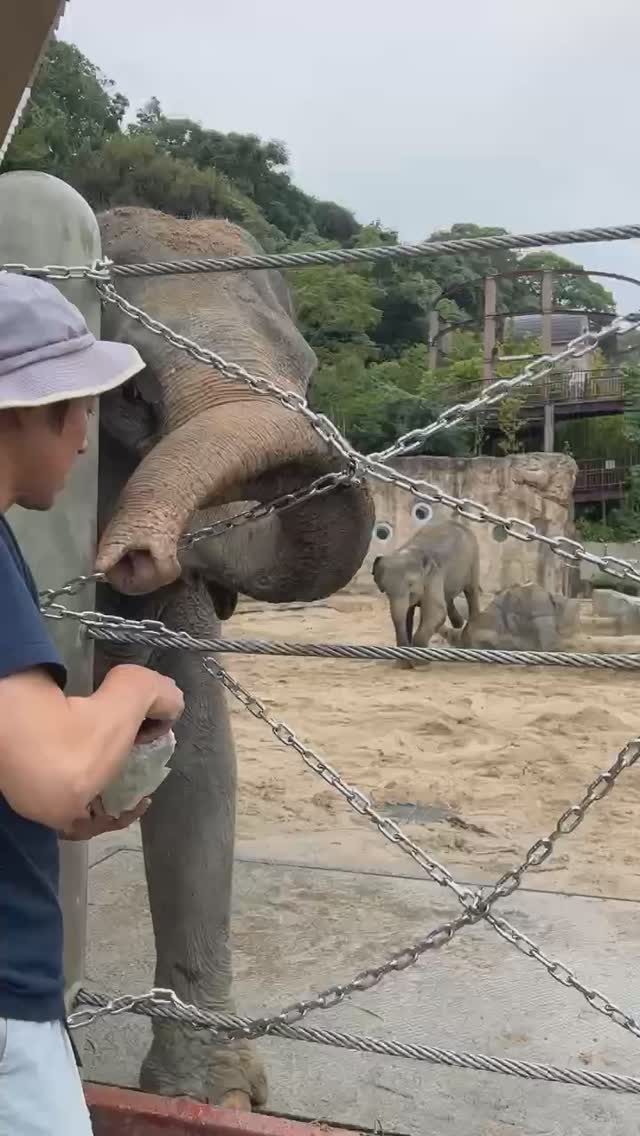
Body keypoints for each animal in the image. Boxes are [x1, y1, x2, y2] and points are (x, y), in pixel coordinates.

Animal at [370, 520, 481, 654]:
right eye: (385, 590)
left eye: (411, 585)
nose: (405, 645)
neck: (412, 551)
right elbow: (408, 614)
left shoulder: (433, 576)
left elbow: (436, 612)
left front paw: (418, 652)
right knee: (447, 598)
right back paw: (458, 624)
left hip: (473, 561)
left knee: (471, 592)